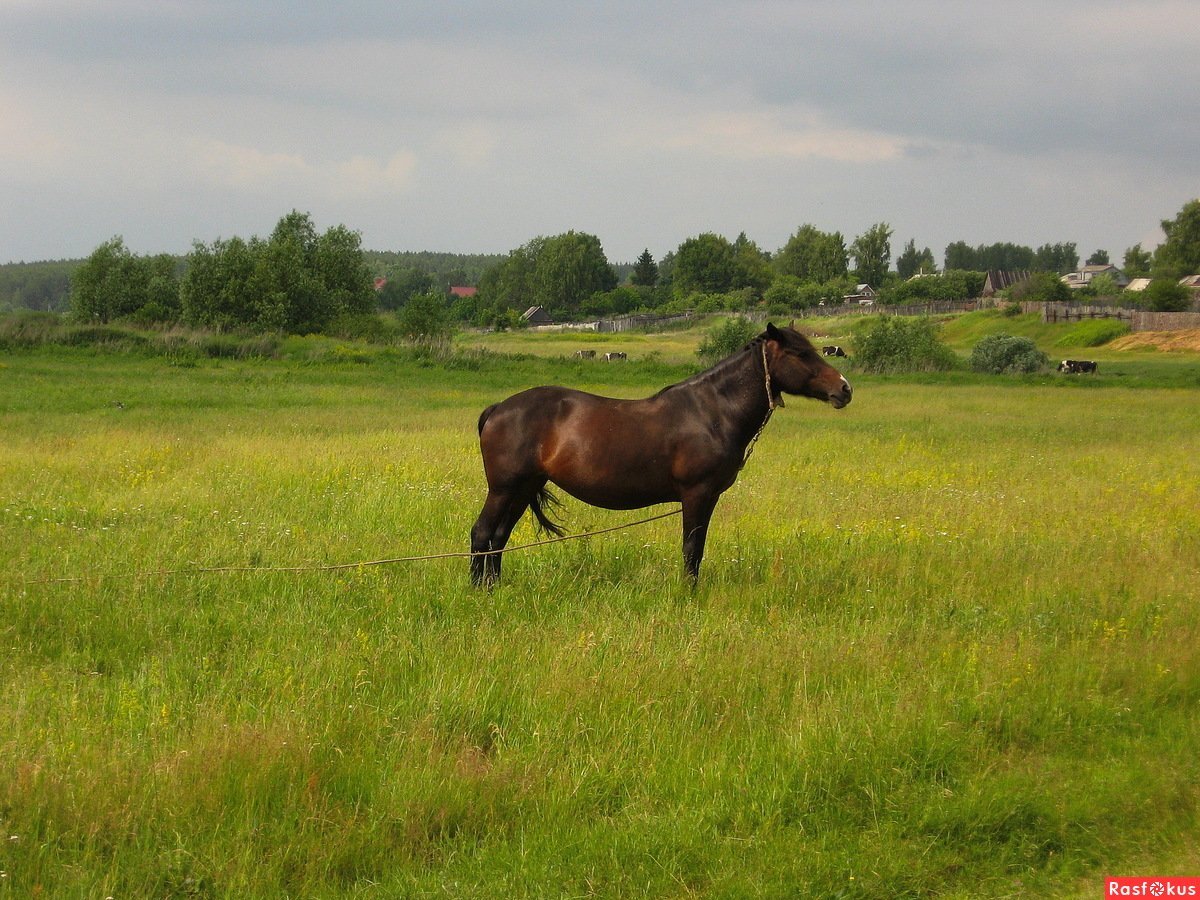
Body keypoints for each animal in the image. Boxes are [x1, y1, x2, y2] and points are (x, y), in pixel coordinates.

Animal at [469, 323, 852, 586]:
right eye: (801, 354)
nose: (844, 389)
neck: (712, 412)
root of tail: (499, 408)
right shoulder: (697, 494)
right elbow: (691, 549)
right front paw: (689, 593)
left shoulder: (709, 497)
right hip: (503, 489)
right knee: (482, 533)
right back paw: (478, 590)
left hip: (523, 488)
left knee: (499, 538)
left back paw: (494, 587)